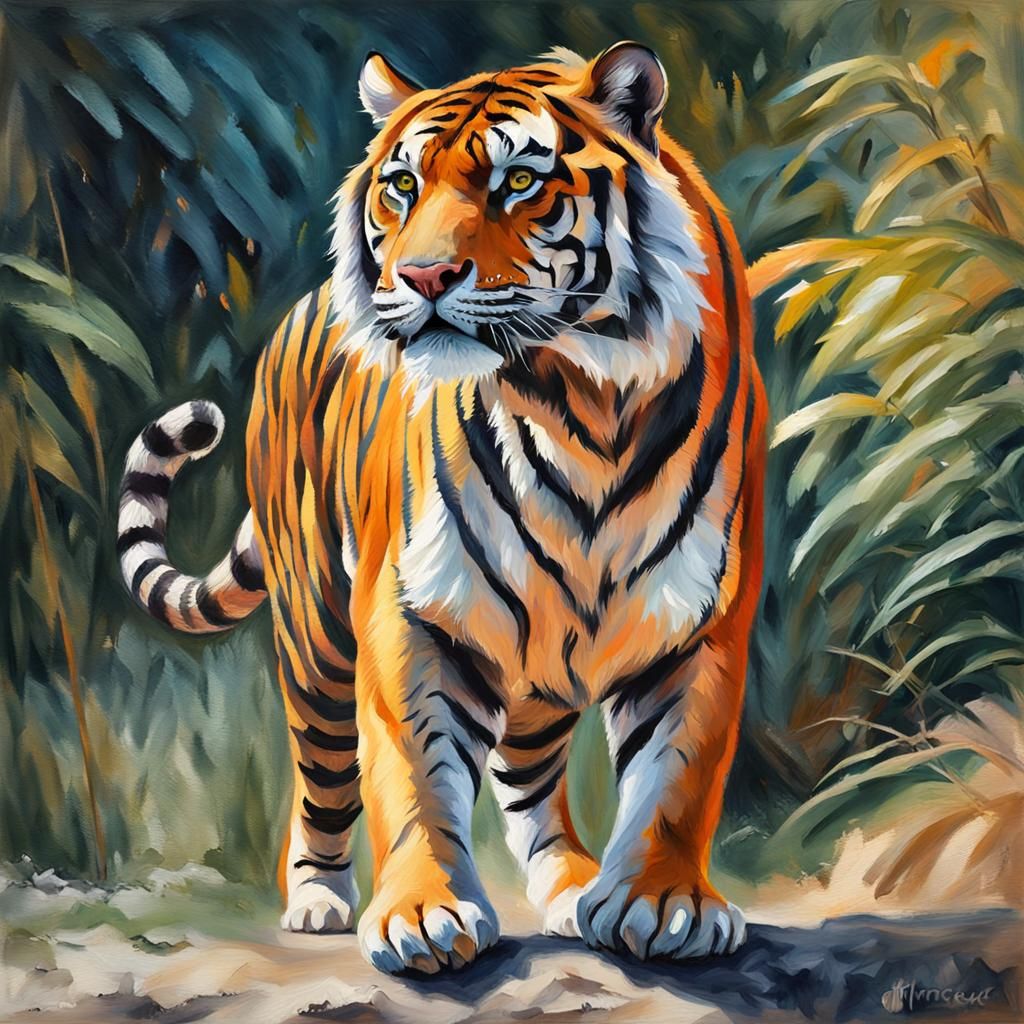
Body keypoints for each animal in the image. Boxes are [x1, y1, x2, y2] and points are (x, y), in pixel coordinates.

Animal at [117, 41, 766, 973]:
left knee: (528, 776)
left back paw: (569, 889)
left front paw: (660, 902)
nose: (420, 276)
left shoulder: (699, 620)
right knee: (323, 776)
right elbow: (415, 771)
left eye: (518, 182)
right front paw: (423, 913)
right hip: (316, 637)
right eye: (402, 185)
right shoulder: (409, 613)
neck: (580, 403)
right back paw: (316, 898)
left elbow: (680, 773)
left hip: (541, 662)